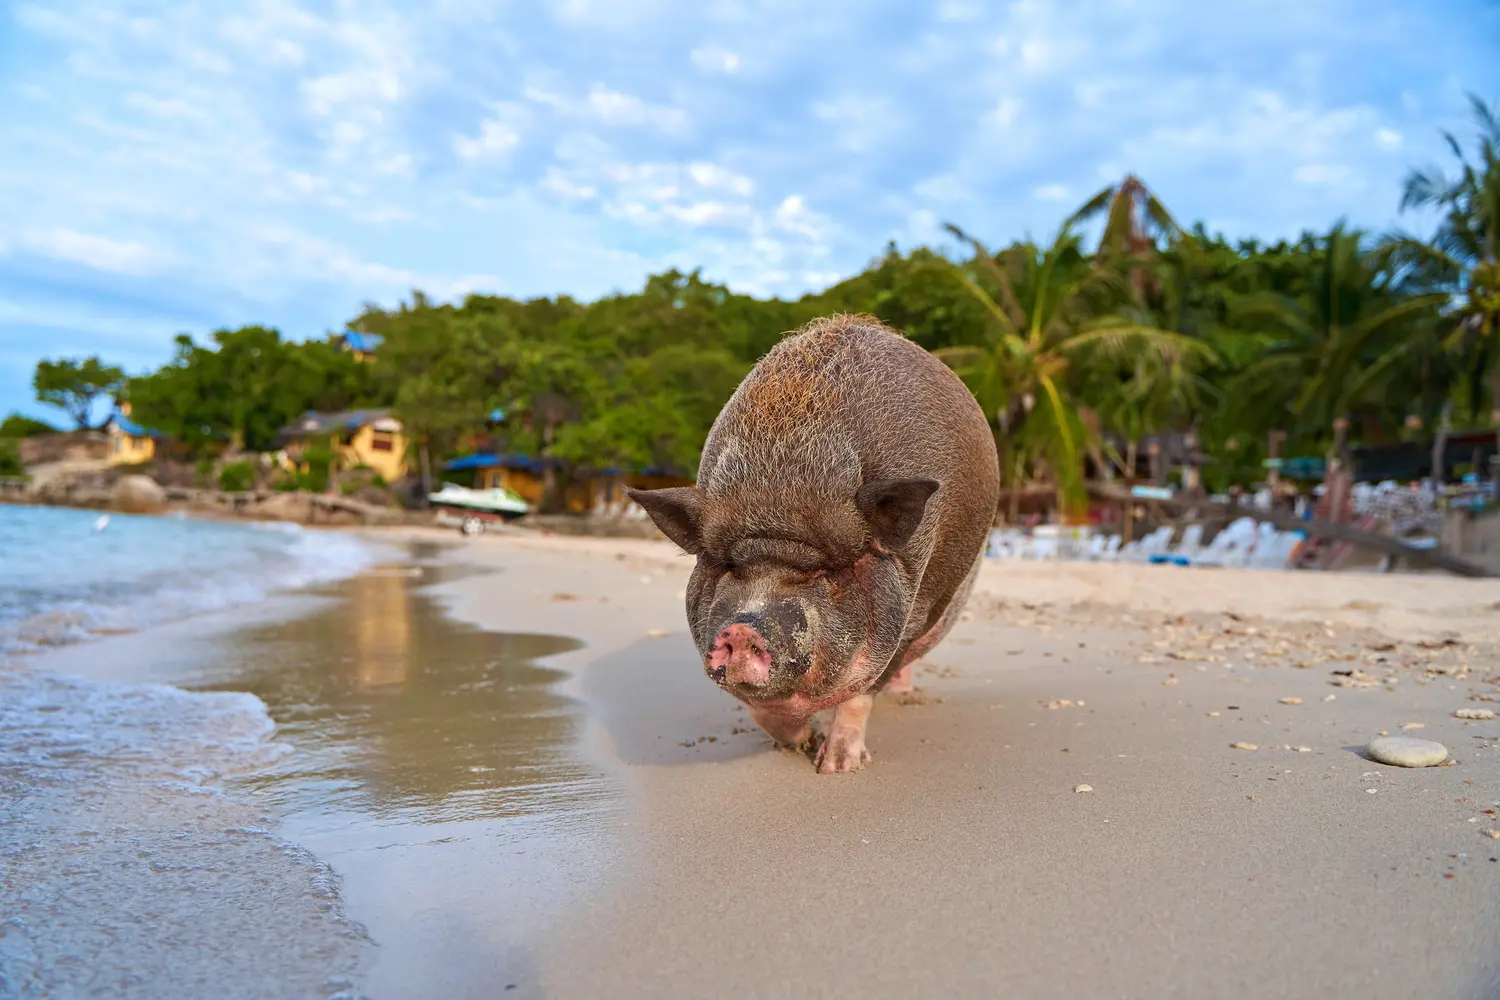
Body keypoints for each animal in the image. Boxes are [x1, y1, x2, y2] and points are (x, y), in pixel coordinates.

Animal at [625, 314, 1000, 773]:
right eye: (730, 565)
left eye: (823, 571)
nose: (741, 627)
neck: (784, 477)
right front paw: (797, 744)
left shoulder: (910, 612)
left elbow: (861, 693)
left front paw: (838, 767)